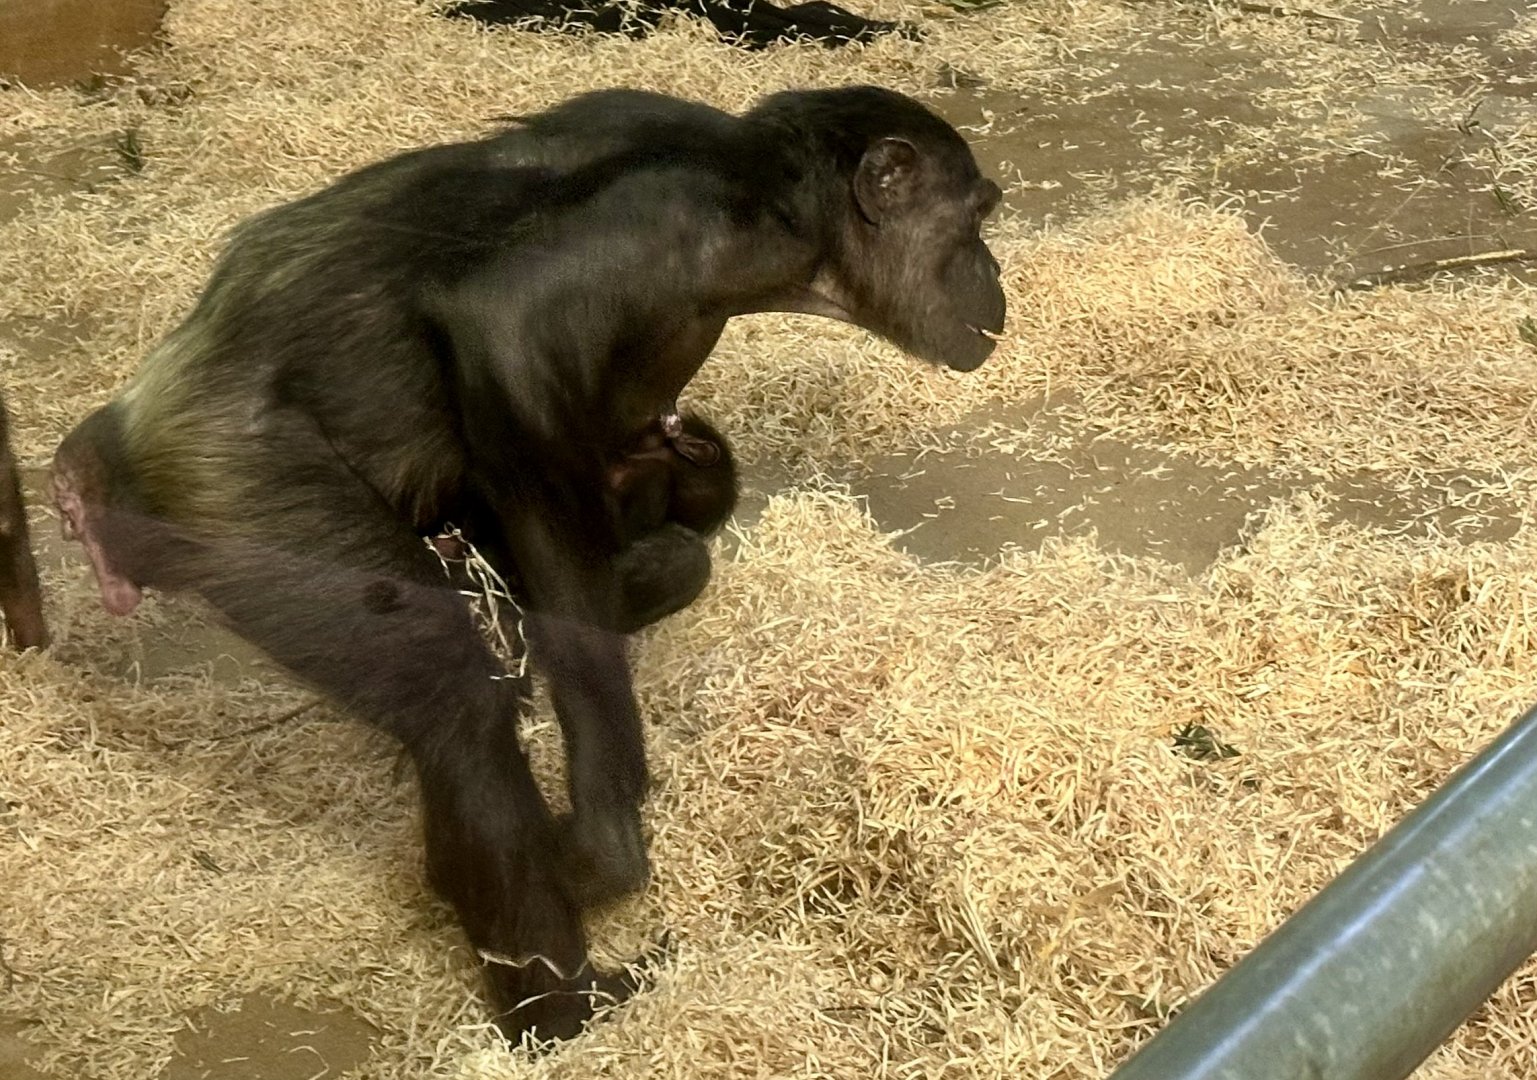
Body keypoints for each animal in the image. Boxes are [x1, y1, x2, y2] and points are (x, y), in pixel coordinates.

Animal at [51, 85, 1007, 1042]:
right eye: (974, 217)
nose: (993, 274)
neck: (799, 230)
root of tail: (111, 461)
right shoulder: (685, 229)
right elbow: (506, 330)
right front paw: (603, 845)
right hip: (245, 495)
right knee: (453, 706)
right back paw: (562, 1005)